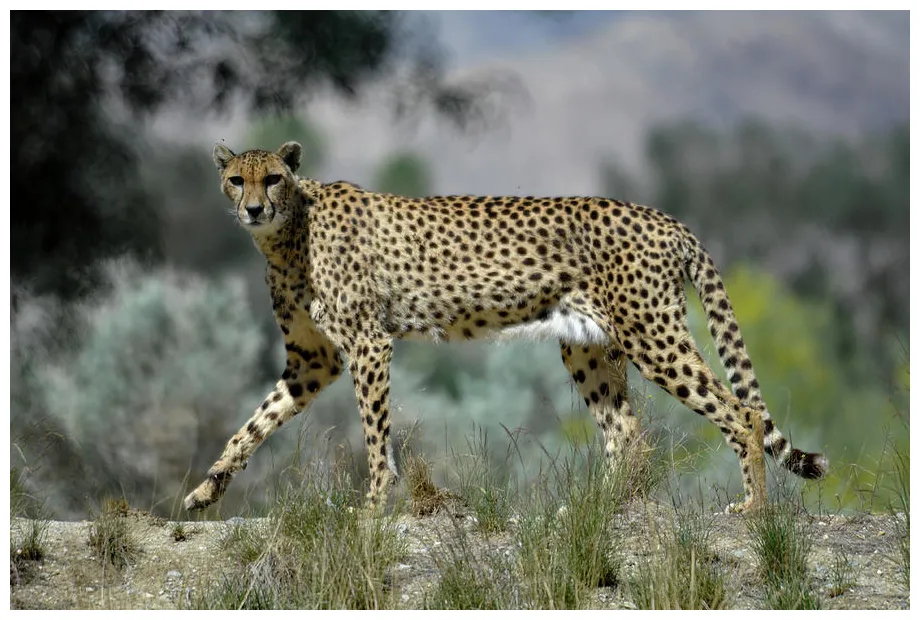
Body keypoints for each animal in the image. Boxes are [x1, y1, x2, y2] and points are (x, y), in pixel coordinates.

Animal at [183, 140, 827, 515]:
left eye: (272, 178)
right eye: (237, 180)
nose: (253, 209)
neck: (289, 232)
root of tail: (663, 217)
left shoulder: (368, 344)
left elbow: (373, 433)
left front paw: (373, 504)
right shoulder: (312, 362)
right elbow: (254, 423)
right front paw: (206, 488)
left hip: (652, 333)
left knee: (740, 412)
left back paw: (754, 508)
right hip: (587, 347)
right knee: (627, 432)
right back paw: (597, 509)